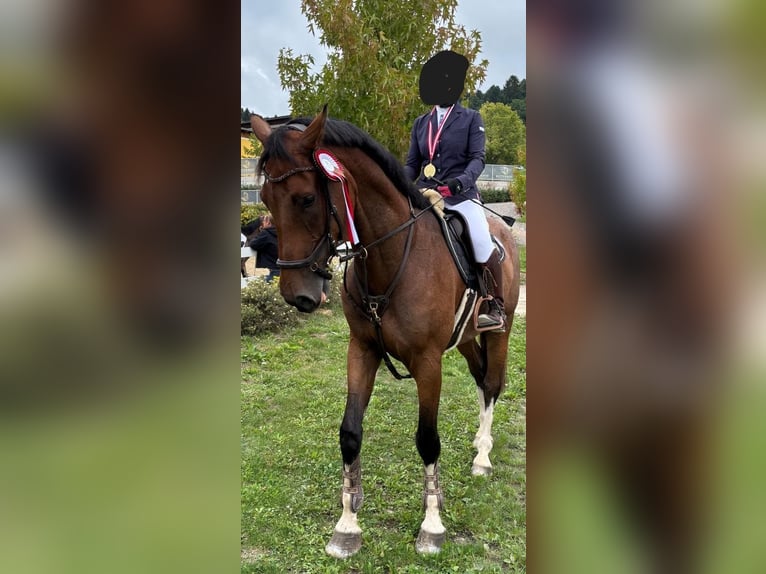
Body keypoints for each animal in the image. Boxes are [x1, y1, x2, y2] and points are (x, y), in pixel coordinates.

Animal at [250, 106, 520, 558]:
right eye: (266, 200)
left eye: (306, 198)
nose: (297, 296)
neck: (390, 258)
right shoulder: (362, 350)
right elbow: (349, 433)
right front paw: (347, 525)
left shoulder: (427, 362)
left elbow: (428, 440)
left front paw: (432, 525)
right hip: (465, 339)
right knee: (482, 380)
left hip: (500, 330)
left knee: (493, 383)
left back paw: (482, 456)